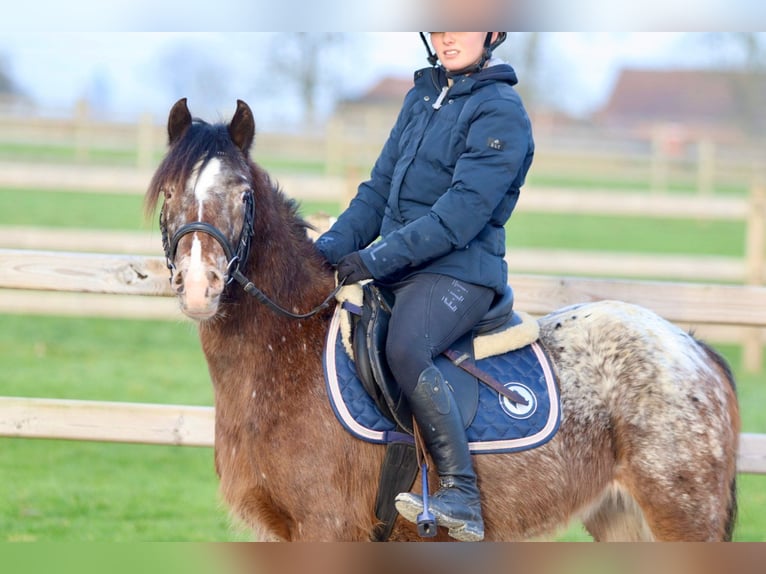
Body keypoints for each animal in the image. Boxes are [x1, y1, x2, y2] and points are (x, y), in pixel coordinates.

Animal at [146, 99, 744, 544]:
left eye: (243, 195)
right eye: (170, 193)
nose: (200, 287)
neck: (288, 354)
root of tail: (693, 348)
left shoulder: (327, 525)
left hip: (681, 517)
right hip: (623, 519)